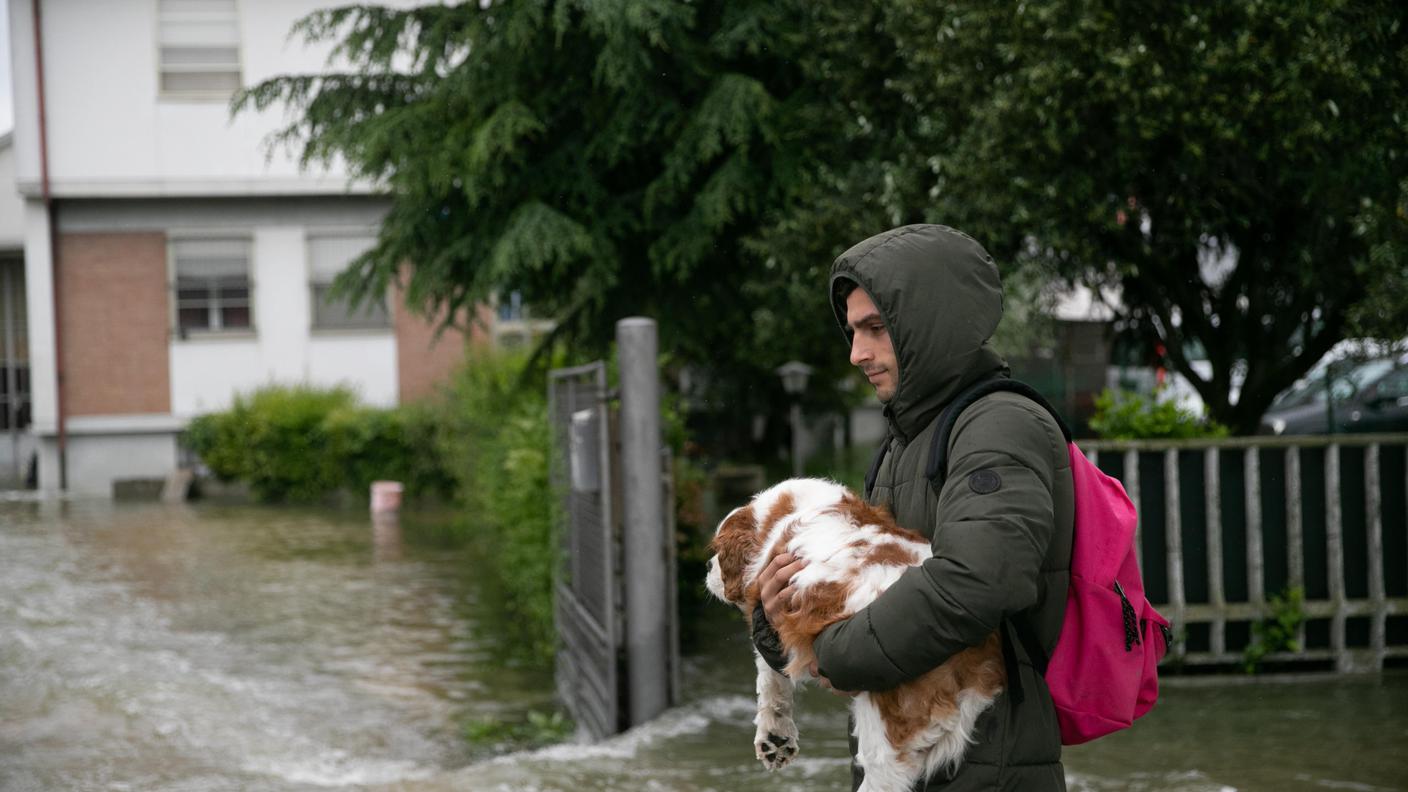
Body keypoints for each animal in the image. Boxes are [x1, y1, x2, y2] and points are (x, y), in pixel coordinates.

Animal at [709, 473, 1008, 789]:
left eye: (716, 552)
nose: (707, 566)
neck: (786, 513)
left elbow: (769, 675)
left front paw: (773, 733)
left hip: (883, 745)